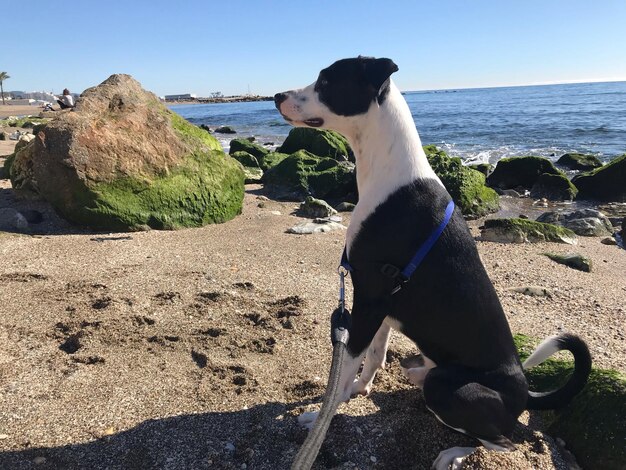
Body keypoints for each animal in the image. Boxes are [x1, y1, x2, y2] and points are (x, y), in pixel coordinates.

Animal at [272, 57, 584, 468]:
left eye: (326, 81)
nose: (277, 96)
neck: (389, 171)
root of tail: (524, 395)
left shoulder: (369, 298)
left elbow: (347, 366)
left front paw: (323, 415)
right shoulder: (385, 304)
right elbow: (373, 357)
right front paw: (359, 389)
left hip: (447, 388)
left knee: (502, 442)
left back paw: (452, 454)